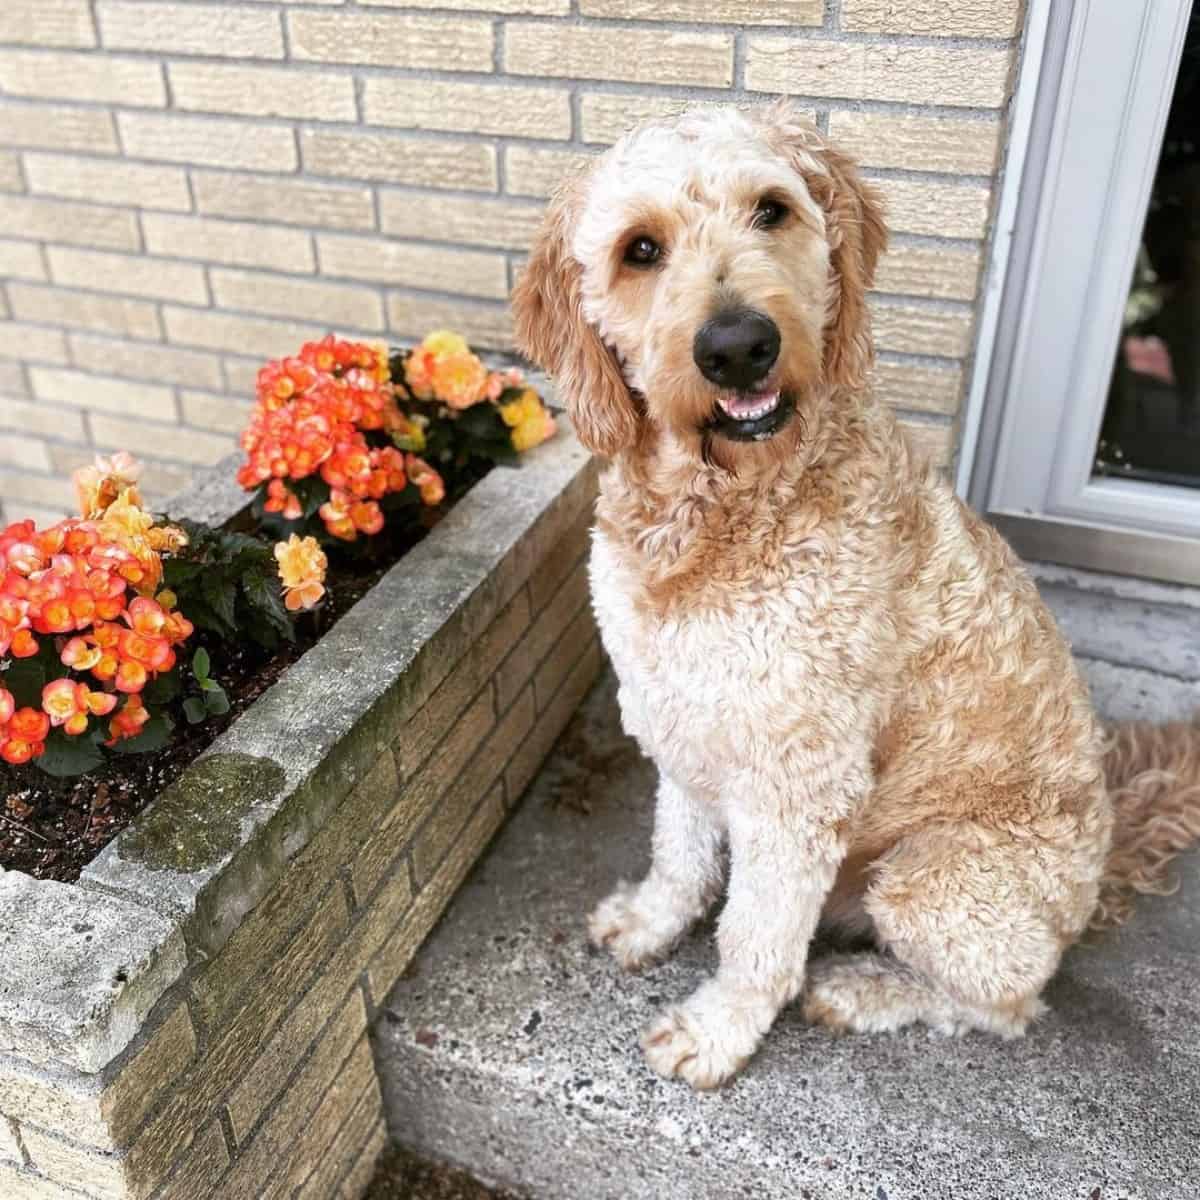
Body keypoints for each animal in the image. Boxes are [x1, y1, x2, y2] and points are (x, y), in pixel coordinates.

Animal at [508, 103, 1200, 1089]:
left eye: (772, 210)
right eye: (640, 250)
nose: (738, 347)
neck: (720, 515)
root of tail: (1103, 863)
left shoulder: (801, 782)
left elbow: (756, 936)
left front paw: (718, 1030)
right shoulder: (680, 718)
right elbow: (679, 854)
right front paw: (649, 921)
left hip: (934, 884)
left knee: (1005, 1007)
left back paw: (865, 990)